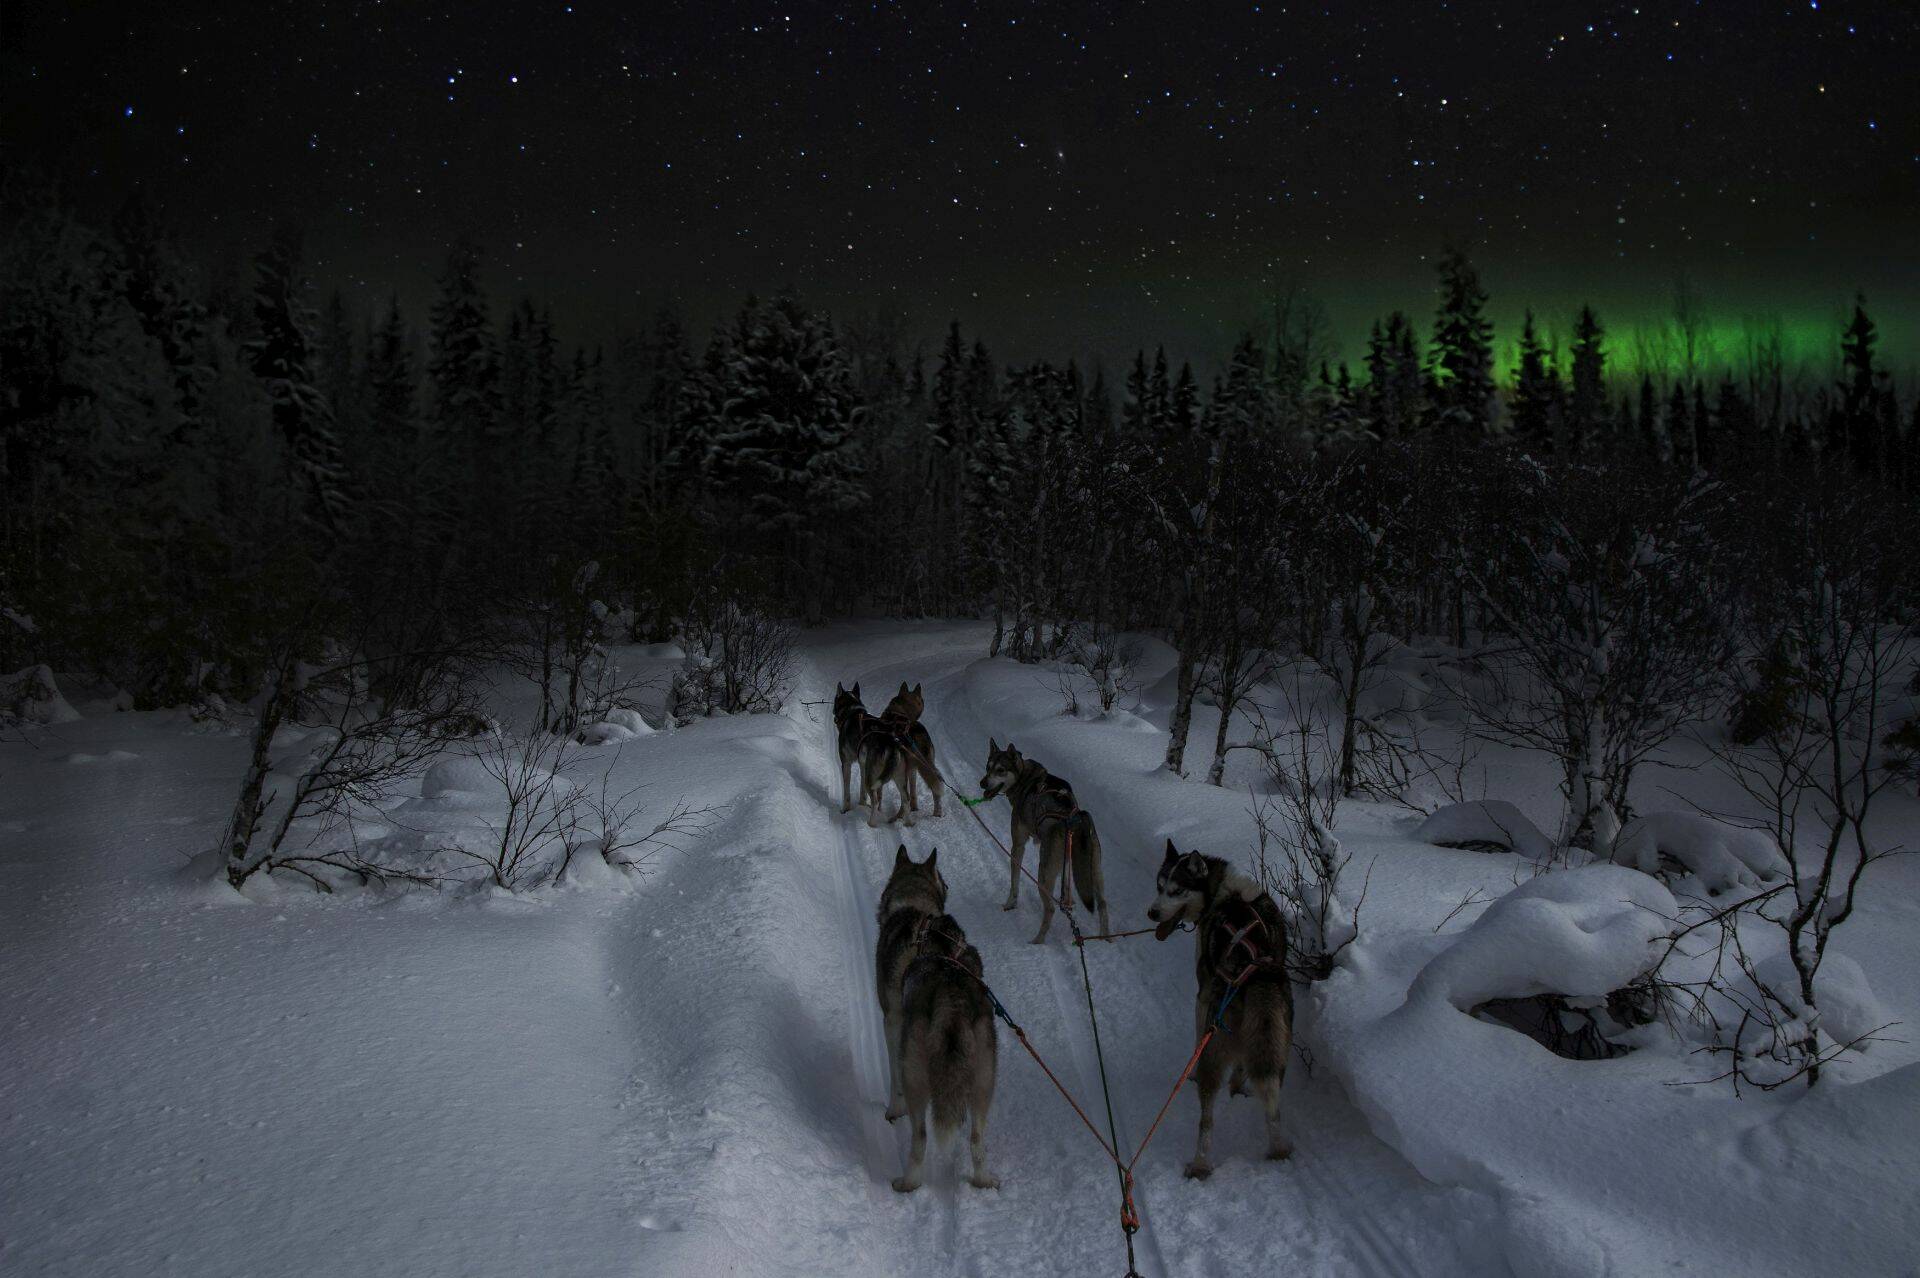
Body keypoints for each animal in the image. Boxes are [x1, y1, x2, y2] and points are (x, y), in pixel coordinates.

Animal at [975, 736, 1113, 936]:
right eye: (988, 767)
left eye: (1000, 770)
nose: (983, 783)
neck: (1025, 779)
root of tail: (1074, 818)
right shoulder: (1065, 863)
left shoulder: (1018, 846)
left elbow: (1014, 883)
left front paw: (1010, 904)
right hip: (1094, 870)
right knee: (1102, 904)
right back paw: (1105, 938)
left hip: (1043, 873)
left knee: (1050, 909)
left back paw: (1037, 940)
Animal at [1144, 836, 1297, 1174]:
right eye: (1159, 886)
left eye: (1176, 890)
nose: (1152, 913)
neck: (1221, 892)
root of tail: (1254, 970)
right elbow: (1241, 1065)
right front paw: (1238, 1086)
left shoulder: (1201, 998)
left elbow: (1195, 1036)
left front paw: (1191, 1073)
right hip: (1276, 1052)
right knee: (1273, 1107)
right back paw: (1278, 1150)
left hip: (1214, 1048)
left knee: (1207, 1121)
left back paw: (1200, 1164)